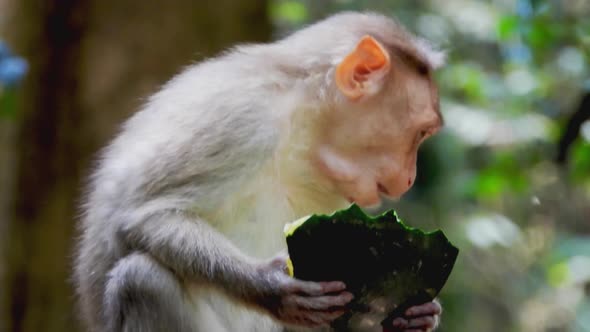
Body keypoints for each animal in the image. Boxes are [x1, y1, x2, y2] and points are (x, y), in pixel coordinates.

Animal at [71, 11, 446, 332]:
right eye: (421, 133)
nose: (410, 178)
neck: (300, 126)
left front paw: (419, 316)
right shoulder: (243, 117)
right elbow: (145, 217)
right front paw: (270, 286)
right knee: (142, 280)